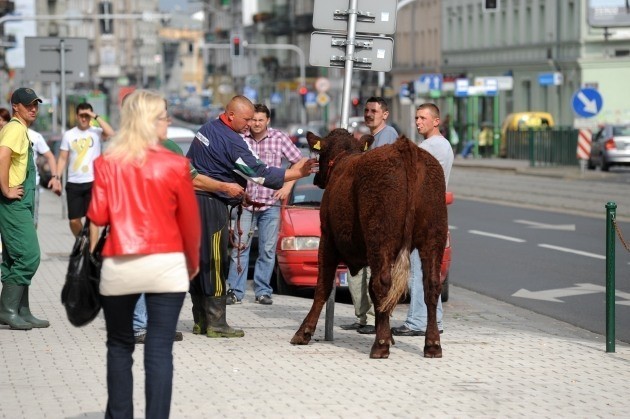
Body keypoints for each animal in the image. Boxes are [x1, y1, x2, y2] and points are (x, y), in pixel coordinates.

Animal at [292, 130, 450, 360]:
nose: (315, 178)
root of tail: (404, 147)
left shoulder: (327, 238)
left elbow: (323, 286)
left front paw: (304, 332)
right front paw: (387, 333)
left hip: (380, 235)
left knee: (383, 284)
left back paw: (380, 345)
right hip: (433, 236)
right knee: (431, 286)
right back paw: (432, 344)